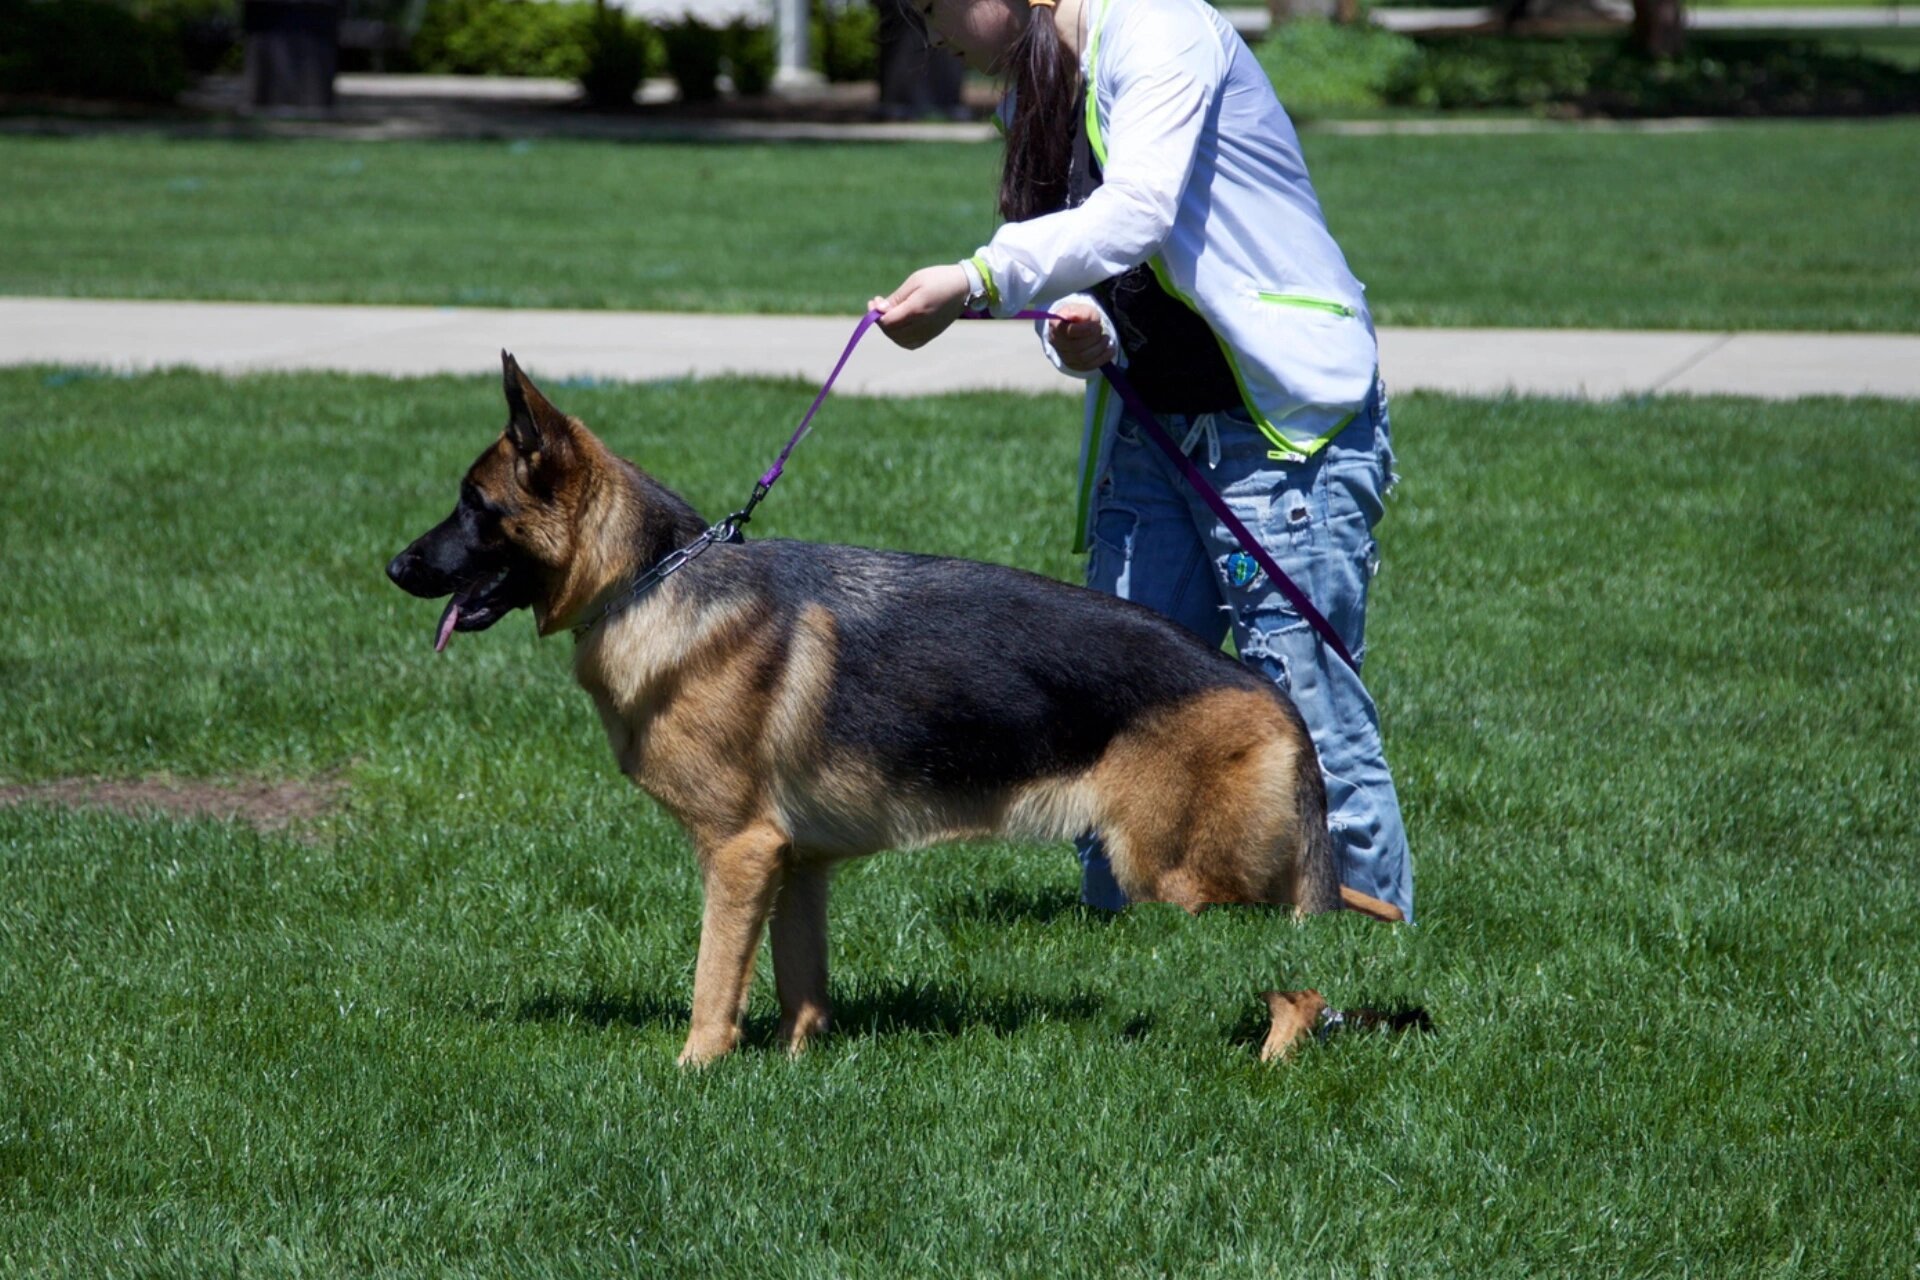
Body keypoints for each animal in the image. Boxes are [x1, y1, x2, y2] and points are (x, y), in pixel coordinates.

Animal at [389, 355, 1405, 1066]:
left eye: (473, 506)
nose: (394, 566)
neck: (651, 581)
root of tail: (1270, 692)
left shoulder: (737, 854)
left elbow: (714, 980)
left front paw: (692, 1071)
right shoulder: (792, 863)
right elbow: (800, 985)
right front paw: (796, 1065)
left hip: (1178, 875)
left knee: (1297, 971)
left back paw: (1269, 1067)